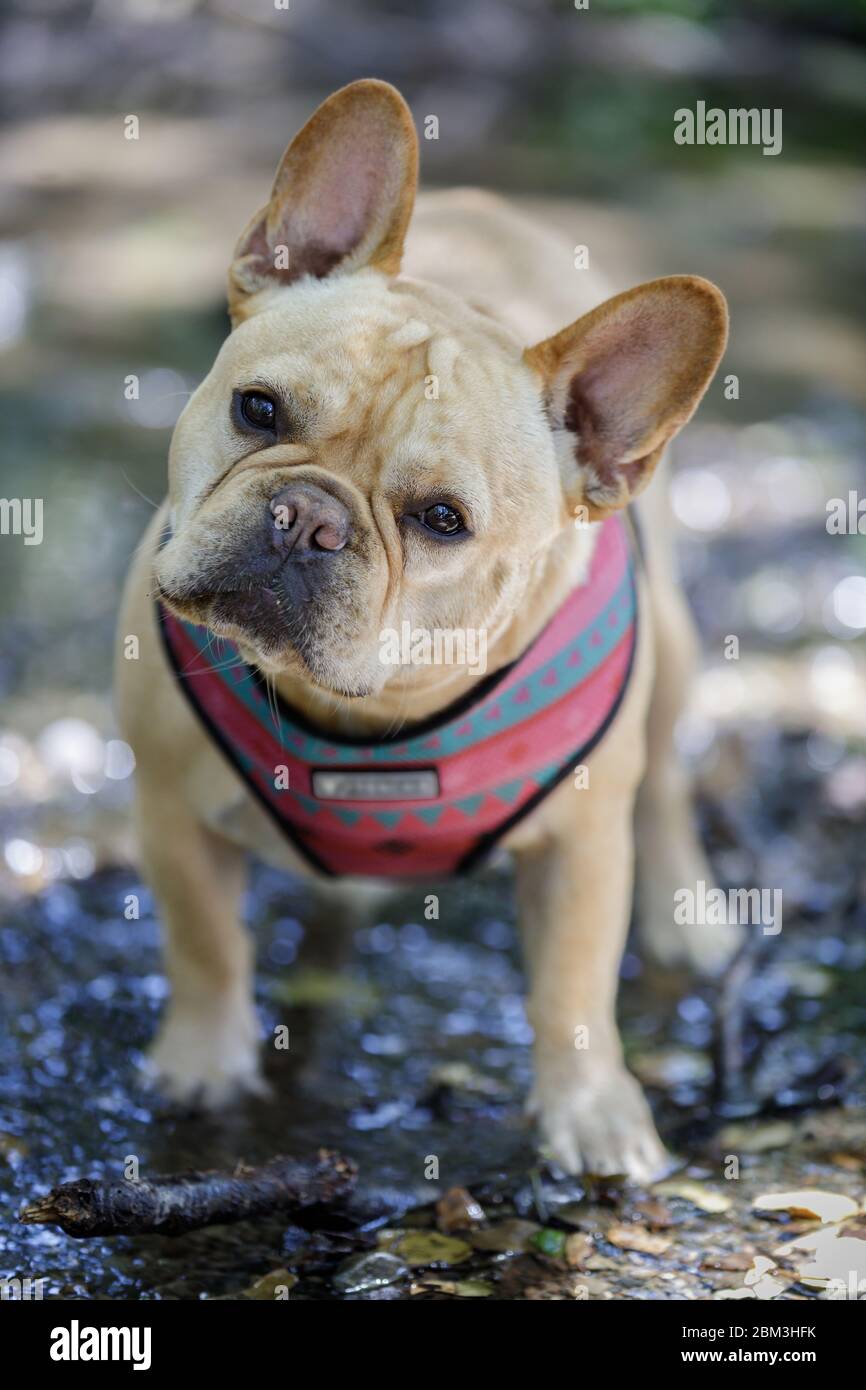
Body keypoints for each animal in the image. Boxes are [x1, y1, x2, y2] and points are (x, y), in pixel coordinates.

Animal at [115, 81, 739, 1178]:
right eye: (256, 409)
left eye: (442, 519)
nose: (305, 519)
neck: (370, 714)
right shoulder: (169, 809)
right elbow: (204, 943)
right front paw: (203, 1063)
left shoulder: (581, 846)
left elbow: (573, 986)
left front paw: (590, 1113)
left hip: (669, 658)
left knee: (663, 781)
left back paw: (685, 913)